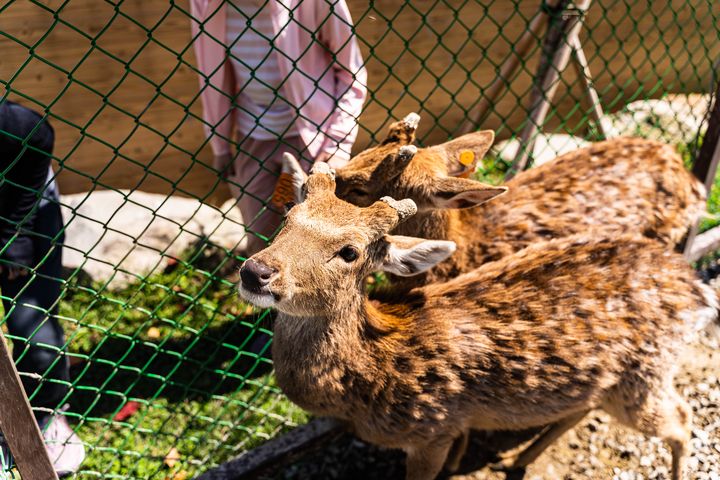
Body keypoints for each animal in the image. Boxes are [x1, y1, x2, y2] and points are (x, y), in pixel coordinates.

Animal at [238, 163, 720, 478]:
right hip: (614, 382)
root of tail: (693, 286)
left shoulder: (433, 428)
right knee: (588, 405)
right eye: (287, 217)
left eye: (350, 251)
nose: (255, 271)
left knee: (681, 419)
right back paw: (521, 459)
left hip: (646, 376)